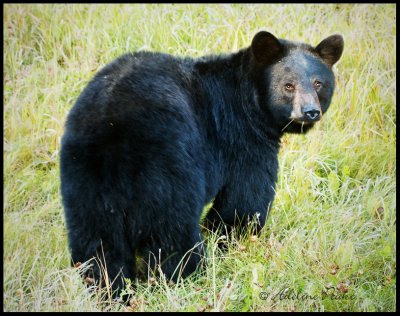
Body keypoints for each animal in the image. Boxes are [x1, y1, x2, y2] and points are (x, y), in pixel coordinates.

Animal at [60, 30, 344, 296]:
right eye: (288, 85)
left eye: (318, 83)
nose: (310, 111)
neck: (246, 100)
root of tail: (112, 131)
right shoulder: (241, 140)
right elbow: (245, 198)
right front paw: (233, 239)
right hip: (167, 168)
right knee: (172, 234)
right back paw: (185, 277)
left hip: (85, 179)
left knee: (98, 243)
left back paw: (108, 290)